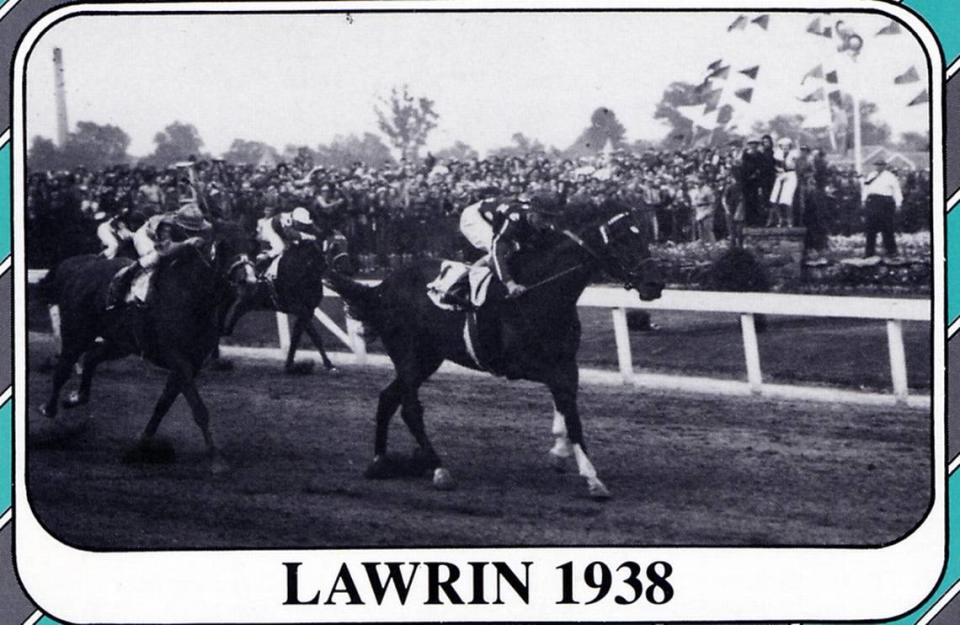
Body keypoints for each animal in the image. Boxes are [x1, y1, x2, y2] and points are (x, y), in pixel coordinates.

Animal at [38, 241, 237, 470]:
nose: (227, 328)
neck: (192, 296)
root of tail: (79, 267)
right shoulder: (180, 363)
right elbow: (198, 409)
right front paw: (216, 458)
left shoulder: (189, 367)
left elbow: (163, 405)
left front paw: (143, 442)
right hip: (77, 335)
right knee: (62, 370)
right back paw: (49, 408)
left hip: (120, 344)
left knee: (91, 358)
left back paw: (76, 398)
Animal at [223, 236, 350, 372]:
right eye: (336, 245)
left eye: (346, 243)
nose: (347, 267)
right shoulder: (299, 309)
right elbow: (304, 336)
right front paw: (290, 364)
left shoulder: (308, 311)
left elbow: (307, 337)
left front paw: (328, 364)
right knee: (231, 316)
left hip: (247, 303)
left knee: (233, 316)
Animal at [326, 202, 664, 500]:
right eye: (623, 240)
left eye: (644, 238)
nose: (655, 284)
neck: (543, 292)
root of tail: (381, 288)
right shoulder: (525, 365)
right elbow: (570, 411)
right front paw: (591, 477)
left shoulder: (566, 362)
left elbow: (566, 405)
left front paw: (559, 451)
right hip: (408, 355)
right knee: (410, 409)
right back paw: (438, 470)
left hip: (426, 358)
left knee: (387, 398)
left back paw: (379, 462)